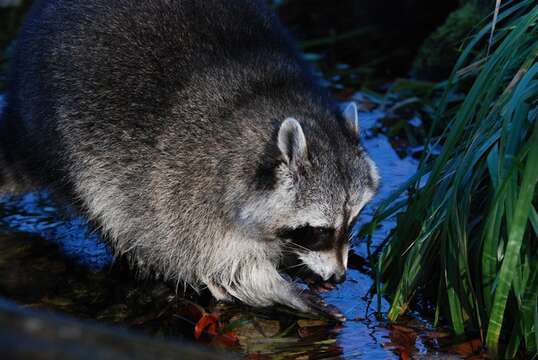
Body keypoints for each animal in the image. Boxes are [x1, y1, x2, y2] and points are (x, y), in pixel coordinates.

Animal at [0, 0, 376, 316]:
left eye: (353, 220)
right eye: (317, 231)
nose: (339, 277)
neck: (269, 96)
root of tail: (19, 122)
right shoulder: (186, 191)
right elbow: (220, 267)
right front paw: (279, 288)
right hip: (67, 144)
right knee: (111, 211)